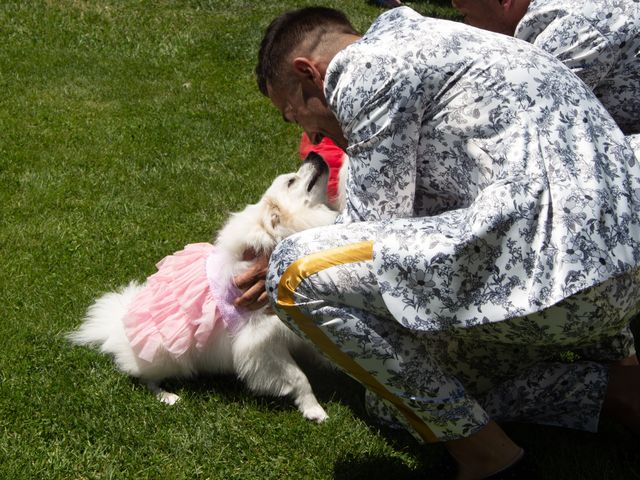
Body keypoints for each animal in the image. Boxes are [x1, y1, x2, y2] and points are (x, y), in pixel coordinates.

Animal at [69, 156, 340, 422]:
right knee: (144, 378)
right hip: (166, 355)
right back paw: (167, 396)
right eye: (291, 181)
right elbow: (298, 377)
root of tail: (115, 330)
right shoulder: (261, 344)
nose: (314, 155)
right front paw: (314, 409)